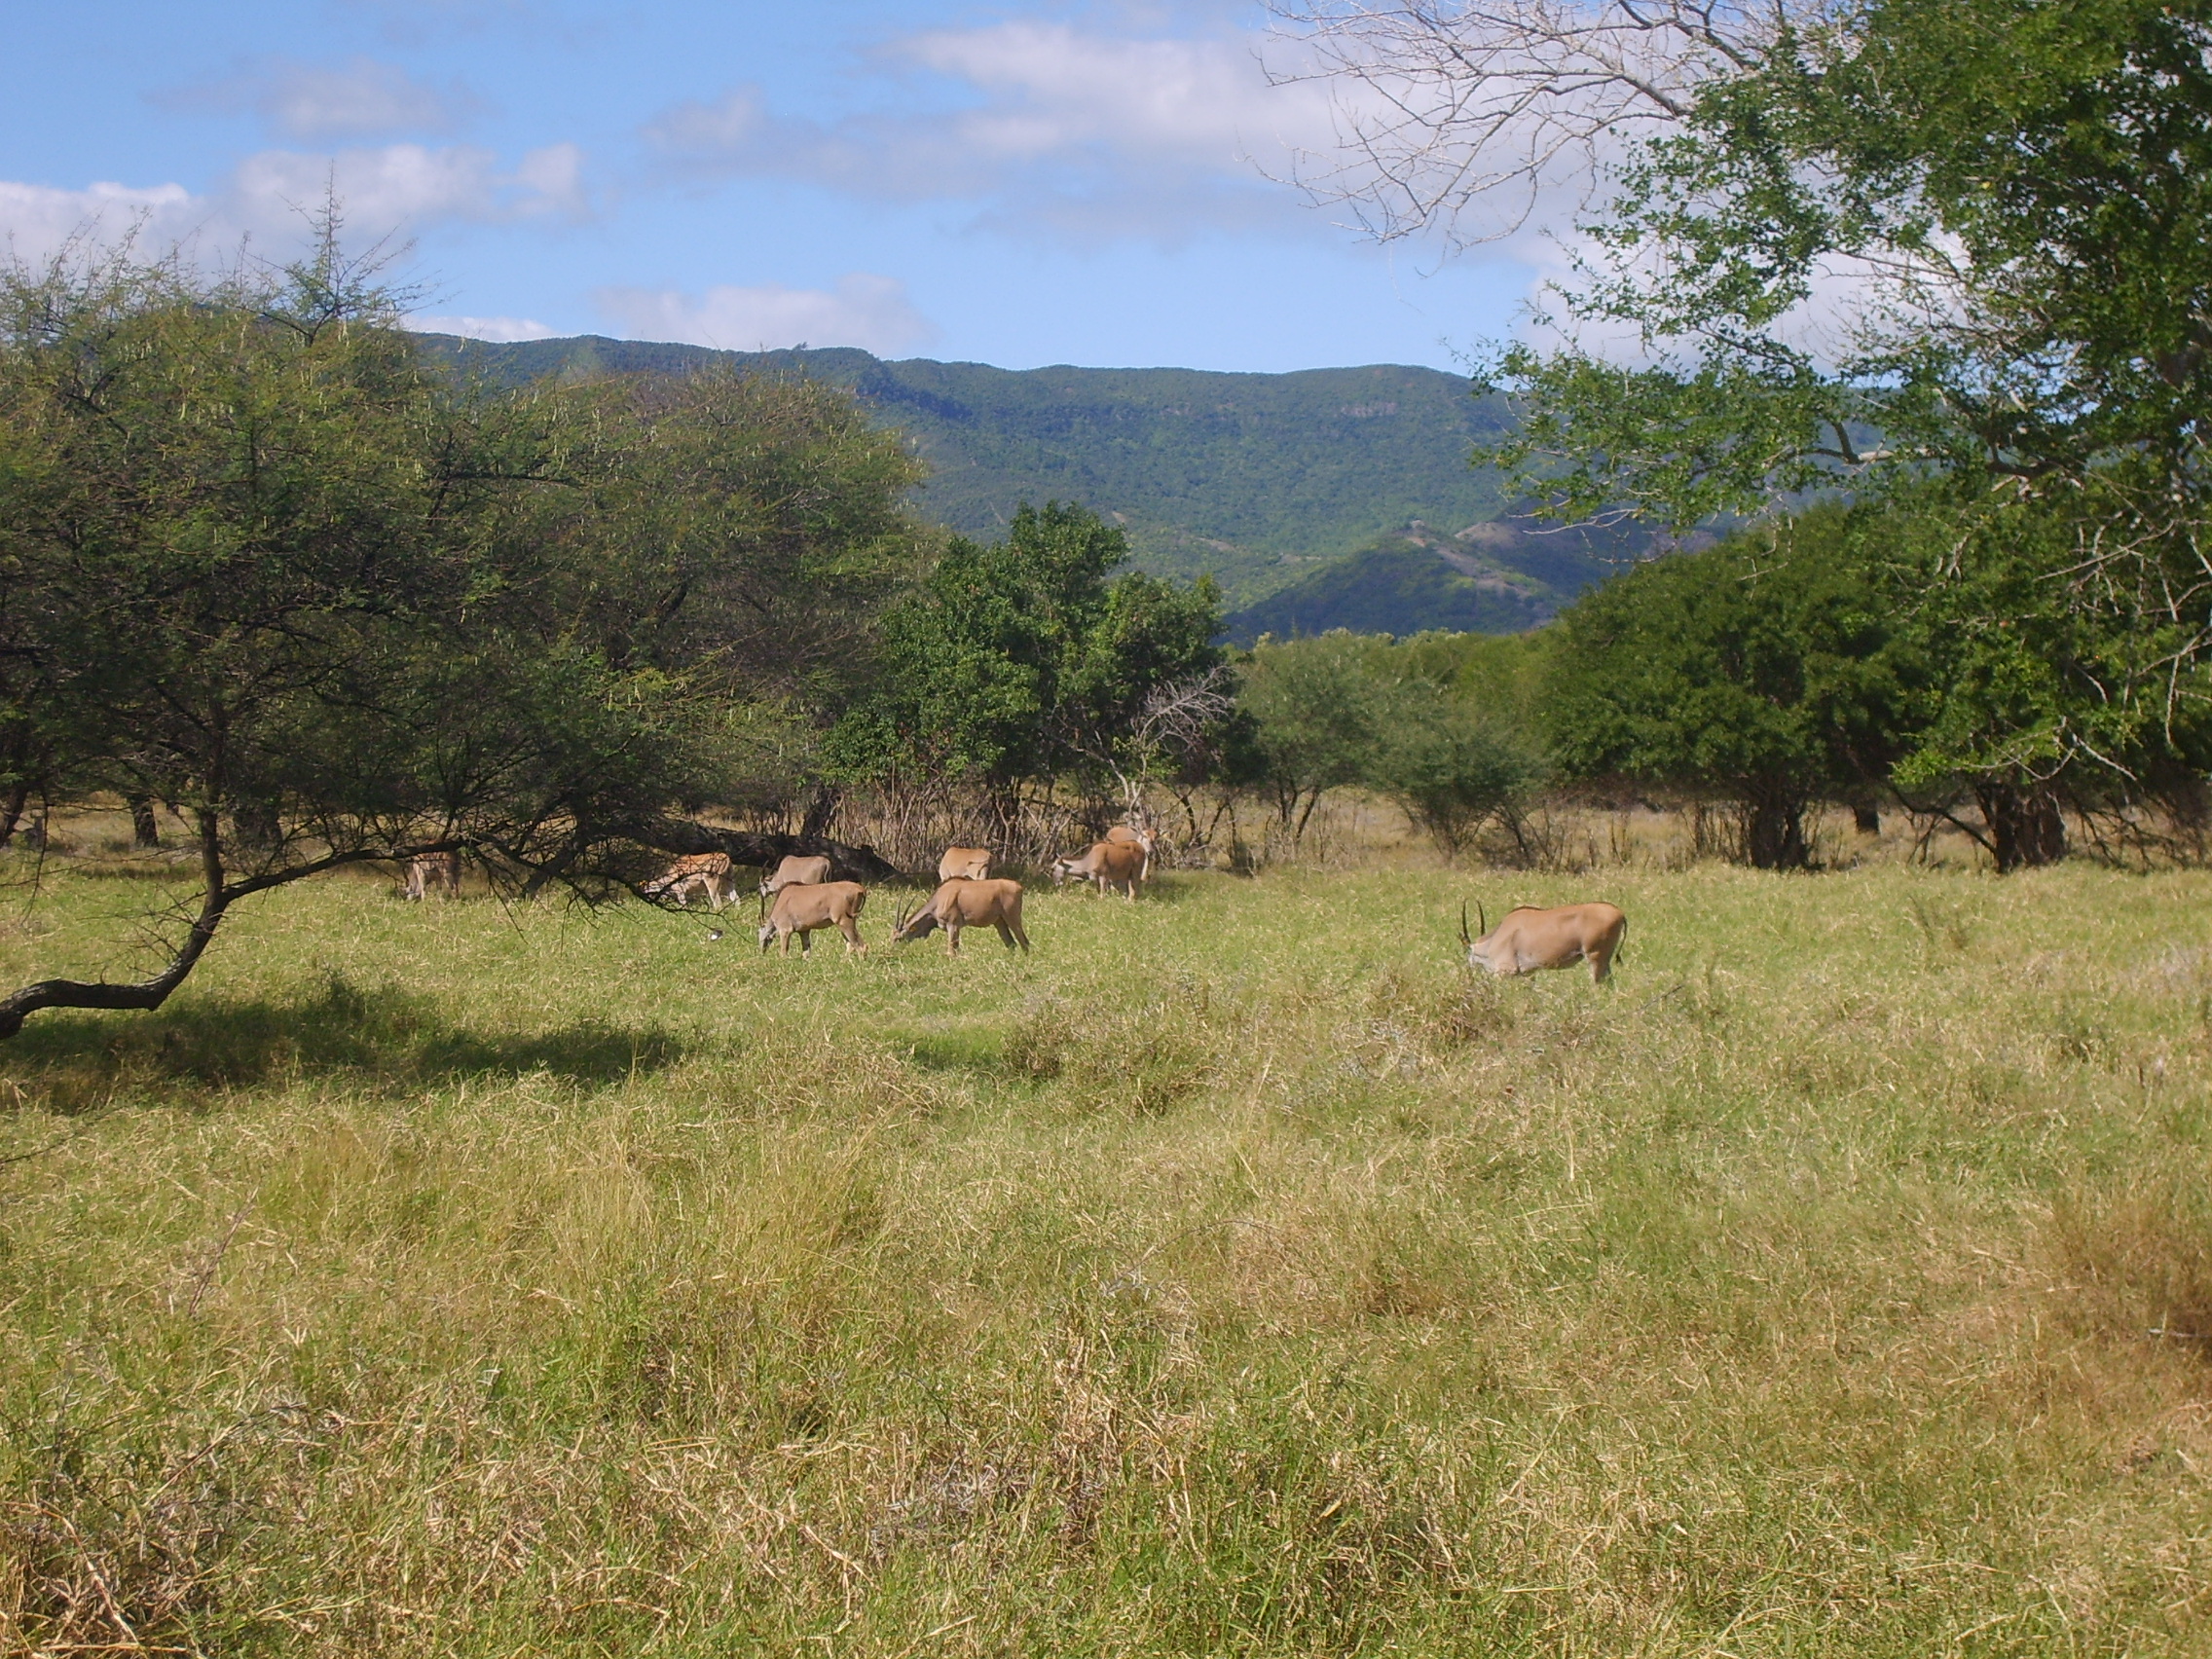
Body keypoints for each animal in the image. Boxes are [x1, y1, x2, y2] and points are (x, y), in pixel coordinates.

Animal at [893, 875, 1030, 955]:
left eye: (898, 938)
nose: (893, 951)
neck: (938, 899)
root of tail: (1018, 886)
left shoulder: (953, 925)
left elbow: (952, 951)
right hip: (999, 922)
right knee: (1011, 943)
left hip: (1012, 918)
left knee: (1024, 942)